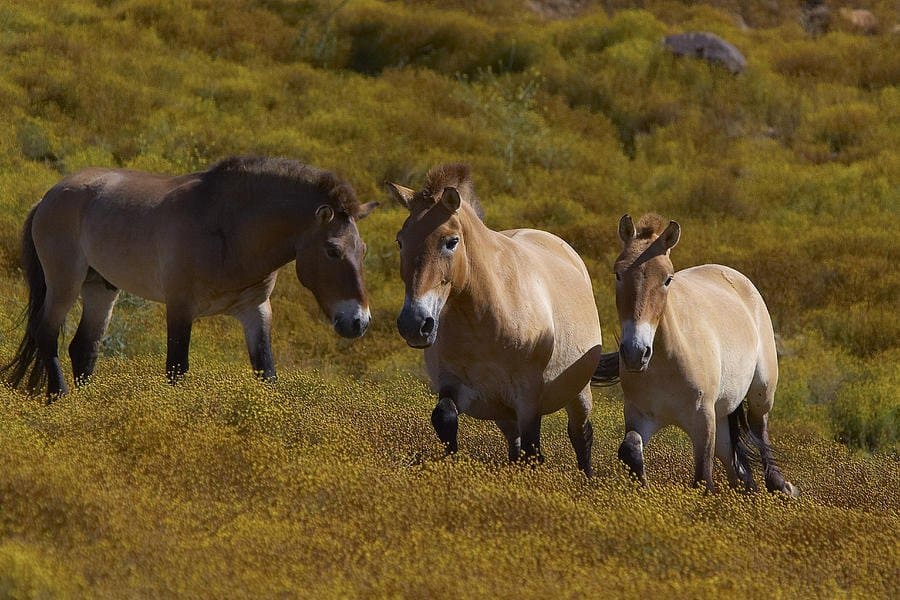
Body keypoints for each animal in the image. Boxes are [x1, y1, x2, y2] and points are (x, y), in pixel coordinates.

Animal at [2, 156, 378, 400]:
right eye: (332, 251)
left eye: (363, 250)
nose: (357, 322)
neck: (228, 226)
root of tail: (49, 196)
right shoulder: (180, 307)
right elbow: (176, 368)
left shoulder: (256, 310)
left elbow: (266, 372)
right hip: (64, 282)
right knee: (46, 333)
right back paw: (60, 397)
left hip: (101, 289)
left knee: (84, 347)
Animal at [388, 164, 603, 476]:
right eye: (401, 241)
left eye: (451, 242)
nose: (414, 324)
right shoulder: (455, 384)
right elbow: (444, 418)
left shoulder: (528, 398)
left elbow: (534, 451)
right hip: (504, 414)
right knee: (515, 448)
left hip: (577, 392)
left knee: (580, 435)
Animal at [601, 213, 796, 495]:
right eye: (618, 273)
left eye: (667, 278)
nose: (636, 353)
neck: (667, 364)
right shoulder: (639, 416)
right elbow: (630, 449)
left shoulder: (703, 420)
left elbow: (702, 477)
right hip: (723, 414)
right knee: (735, 464)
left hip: (761, 392)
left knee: (760, 430)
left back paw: (779, 486)